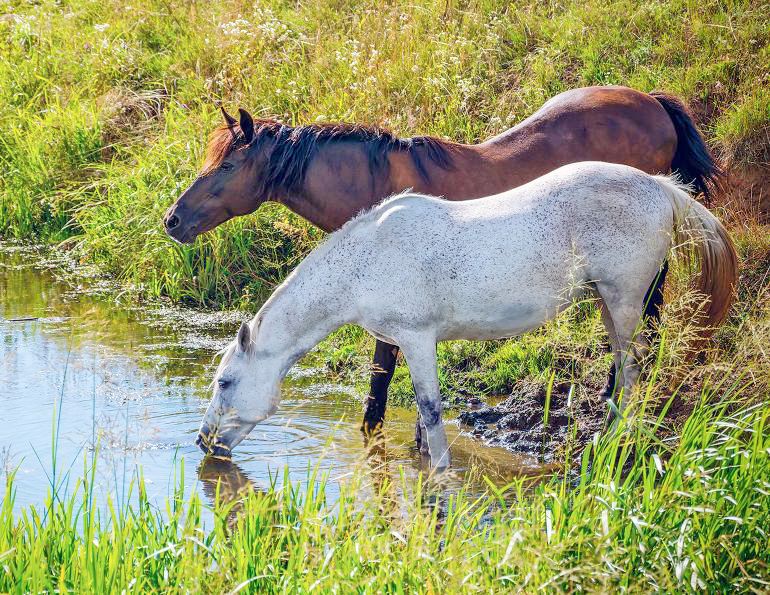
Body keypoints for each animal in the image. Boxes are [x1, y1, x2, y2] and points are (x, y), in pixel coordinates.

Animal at [164, 85, 722, 437]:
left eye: (227, 165)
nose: (173, 220)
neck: (376, 184)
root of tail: (652, 102)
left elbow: (379, 388)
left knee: (643, 320)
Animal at [195, 161, 737, 469]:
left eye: (225, 382)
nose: (203, 442)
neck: (367, 260)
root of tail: (659, 186)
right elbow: (421, 413)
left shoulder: (415, 339)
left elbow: (431, 410)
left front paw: (440, 470)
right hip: (606, 299)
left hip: (624, 299)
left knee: (632, 367)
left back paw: (617, 440)